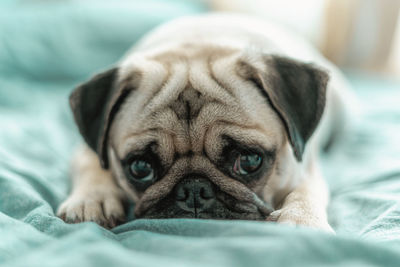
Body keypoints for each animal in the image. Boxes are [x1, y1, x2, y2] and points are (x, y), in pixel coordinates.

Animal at [57, 13, 350, 231]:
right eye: (141, 168)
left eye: (248, 161)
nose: (194, 189)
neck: (198, 45)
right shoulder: (88, 148)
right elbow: (92, 164)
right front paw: (92, 200)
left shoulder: (305, 167)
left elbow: (307, 192)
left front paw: (302, 220)